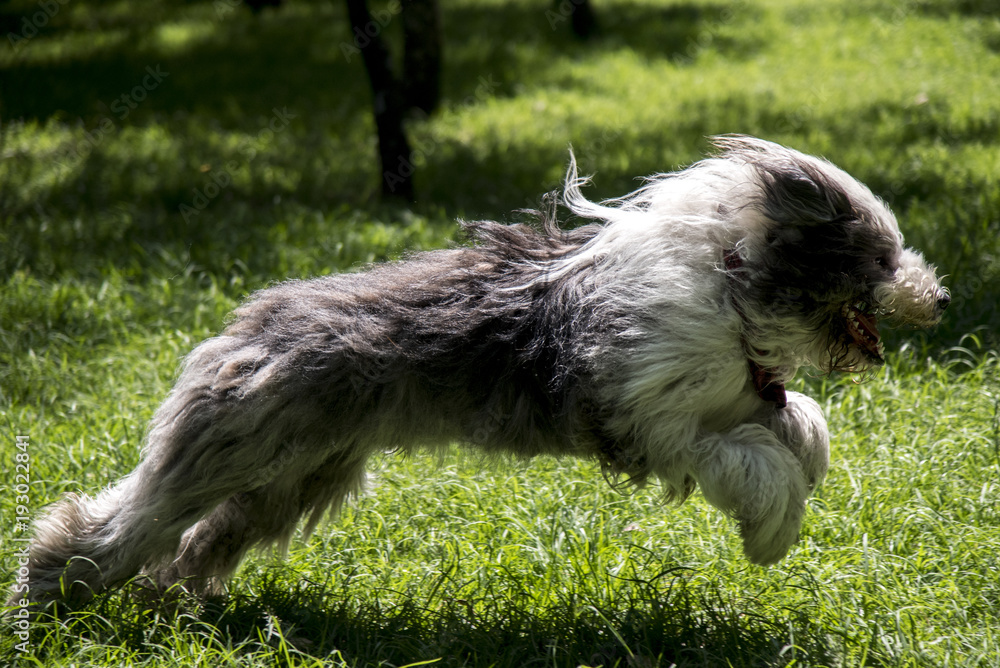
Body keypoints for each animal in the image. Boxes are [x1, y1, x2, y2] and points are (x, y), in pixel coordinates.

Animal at [17, 137, 952, 612]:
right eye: (881, 256)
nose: (939, 296)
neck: (730, 288)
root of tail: (254, 318)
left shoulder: (736, 393)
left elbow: (794, 421)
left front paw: (805, 458)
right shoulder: (651, 424)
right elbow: (748, 462)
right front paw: (773, 533)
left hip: (295, 476)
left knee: (196, 539)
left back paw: (175, 600)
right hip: (238, 440)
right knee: (129, 518)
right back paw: (53, 590)